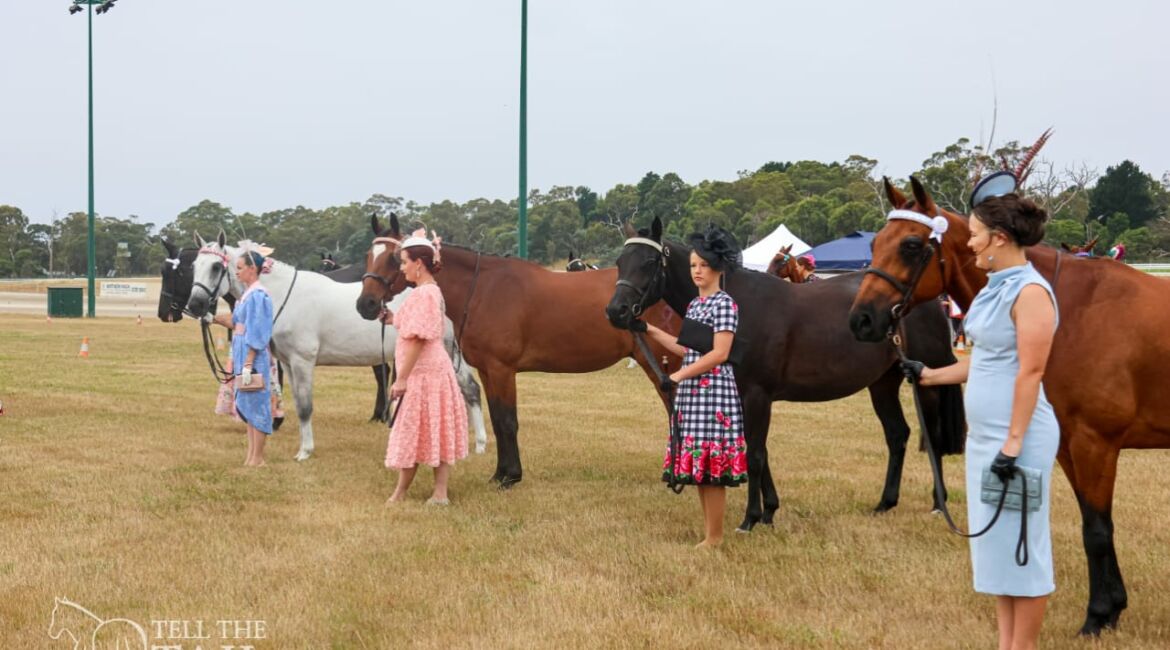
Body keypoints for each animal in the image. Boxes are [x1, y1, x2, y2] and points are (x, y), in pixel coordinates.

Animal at [353, 215, 678, 486]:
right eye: (368, 256)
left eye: (394, 258)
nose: (366, 304)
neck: (482, 289)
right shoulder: (487, 370)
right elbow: (498, 420)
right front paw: (501, 473)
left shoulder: (502, 369)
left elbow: (508, 421)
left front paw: (511, 477)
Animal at [608, 216, 964, 530]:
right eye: (621, 262)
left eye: (649, 262)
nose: (617, 311)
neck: (742, 306)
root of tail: (924, 299)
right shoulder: (744, 395)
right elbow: (760, 451)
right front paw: (769, 512)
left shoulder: (757, 395)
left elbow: (754, 454)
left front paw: (750, 519)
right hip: (883, 383)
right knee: (897, 434)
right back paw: (885, 503)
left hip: (926, 381)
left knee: (931, 436)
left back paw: (938, 504)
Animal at [847, 176, 1170, 635]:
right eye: (874, 243)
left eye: (910, 245)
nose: (862, 320)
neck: (1069, 309)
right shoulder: (1068, 446)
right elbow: (1092, 522)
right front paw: (1111, 609)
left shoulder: (1096, 444)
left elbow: (1097, 529)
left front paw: (1097, 616)